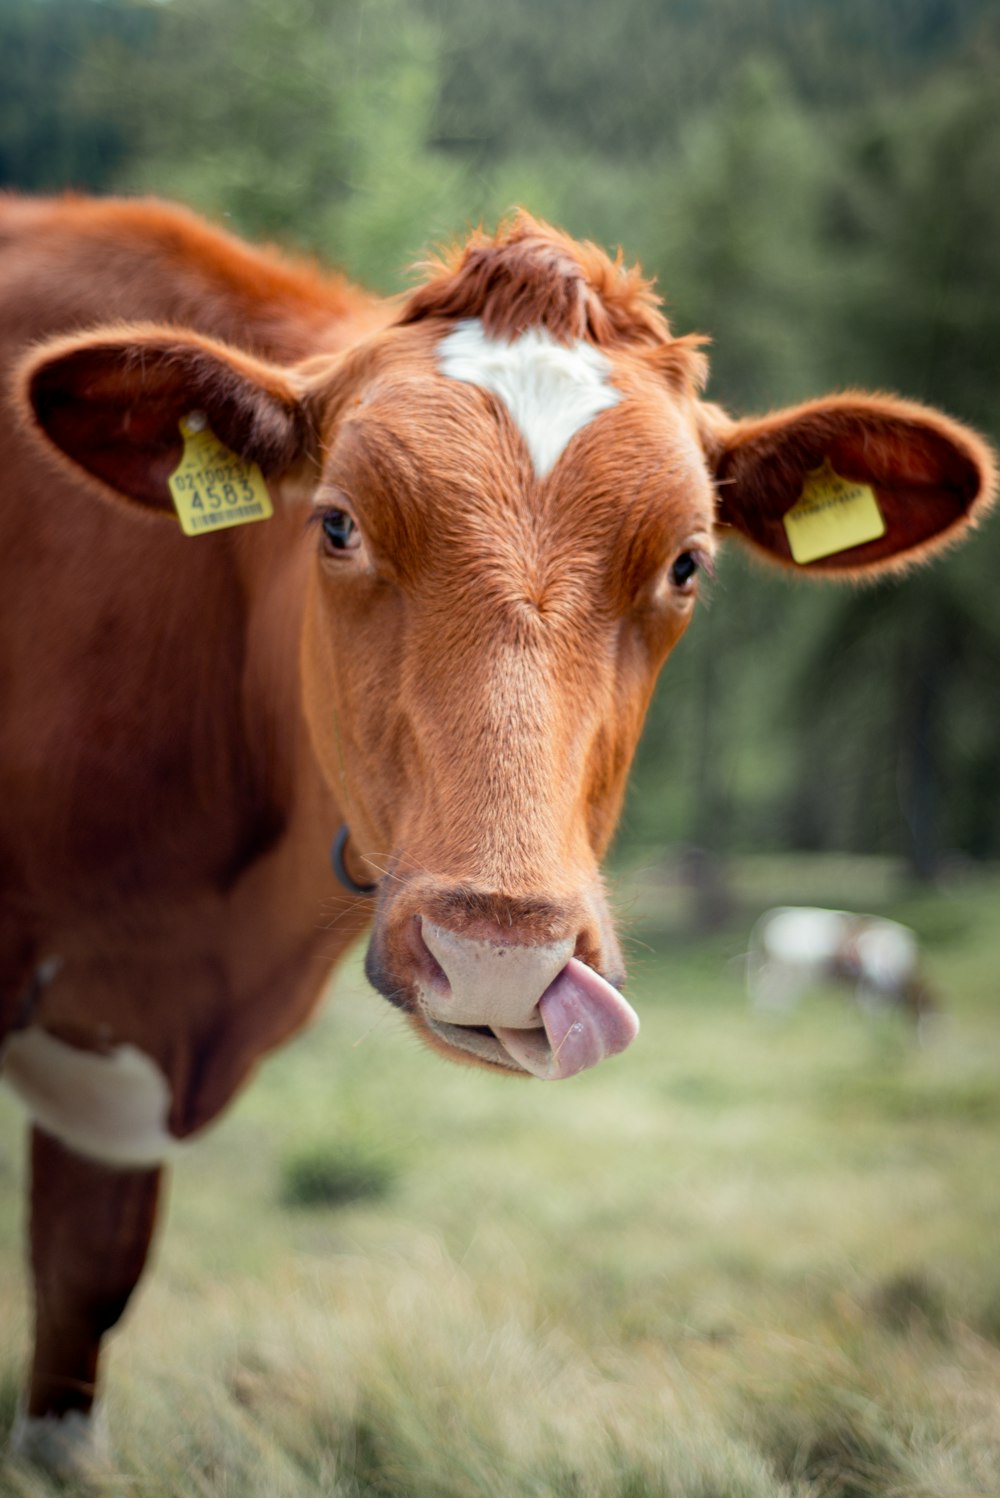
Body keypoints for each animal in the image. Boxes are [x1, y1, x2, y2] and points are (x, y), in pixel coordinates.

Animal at [745, 904, 934, 1024]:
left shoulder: (855, 984)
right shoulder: (872, 982)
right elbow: (872, 1008)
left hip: (784, 972)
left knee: (773, 994)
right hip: (785, 972)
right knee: (772, 994)